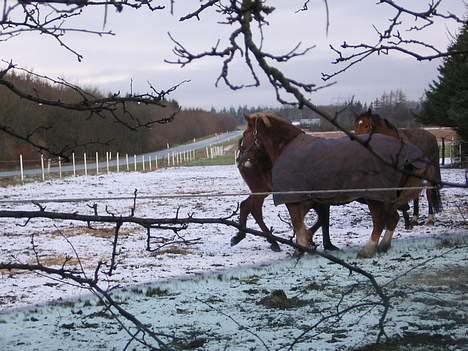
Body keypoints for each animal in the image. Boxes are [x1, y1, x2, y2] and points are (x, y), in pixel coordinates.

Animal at [245, 113, 436, 258]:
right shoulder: (309, 199)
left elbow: (298, 224)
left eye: (247, 134)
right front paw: (308, 243)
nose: (243, 157)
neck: (286, 148)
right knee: (392, 218)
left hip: (374, 197)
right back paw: (383, 246)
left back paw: (368, 250)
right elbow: (308, 223)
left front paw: (301, 249)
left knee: (380, 221)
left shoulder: (294, 200)